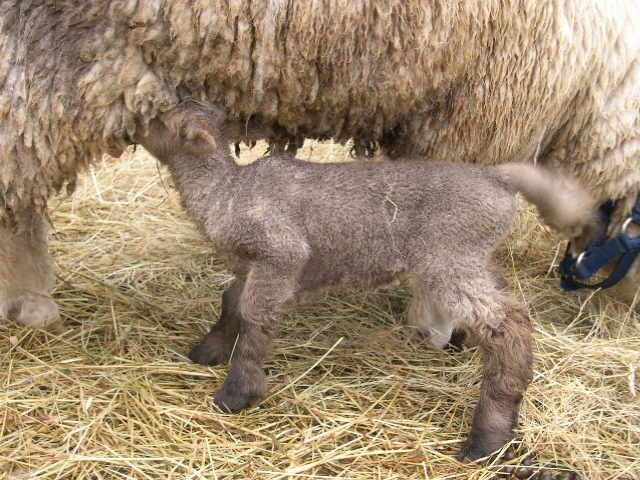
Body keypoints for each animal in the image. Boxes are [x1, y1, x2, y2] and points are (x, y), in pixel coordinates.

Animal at [132, 100, 599, 460]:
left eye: (160, 119)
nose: (131, 122)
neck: (225, 191)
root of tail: (498, 178)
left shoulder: (281, 254)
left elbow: (253, 319)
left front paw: (236, 393)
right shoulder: (253, 266)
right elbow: (231, 301)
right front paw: (208, 350)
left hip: (448, 257)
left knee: (509, 326)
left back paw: (487, 438)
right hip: (470, 256)